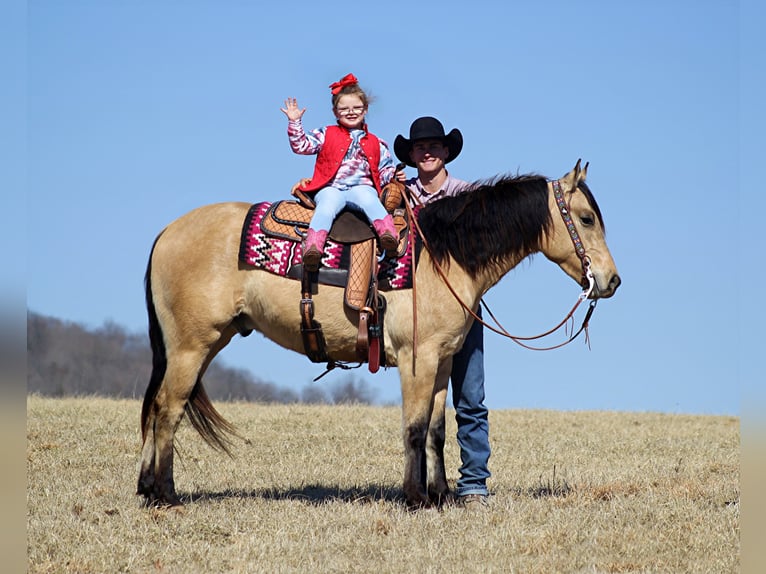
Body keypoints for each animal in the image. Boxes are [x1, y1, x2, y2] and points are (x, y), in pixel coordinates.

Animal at [138, 161, 620, 508]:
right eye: (586, 218)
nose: (611, 280)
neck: (443, 255)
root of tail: (166, 233)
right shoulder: (416, 360)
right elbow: (414, 428)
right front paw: (414, 497)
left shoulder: (442, 361)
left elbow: (437, 430)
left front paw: (440, 495)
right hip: (190, 348)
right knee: (169, 411)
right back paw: (166, 494)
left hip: (203, 344)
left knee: (157, 407)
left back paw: (145, 488)